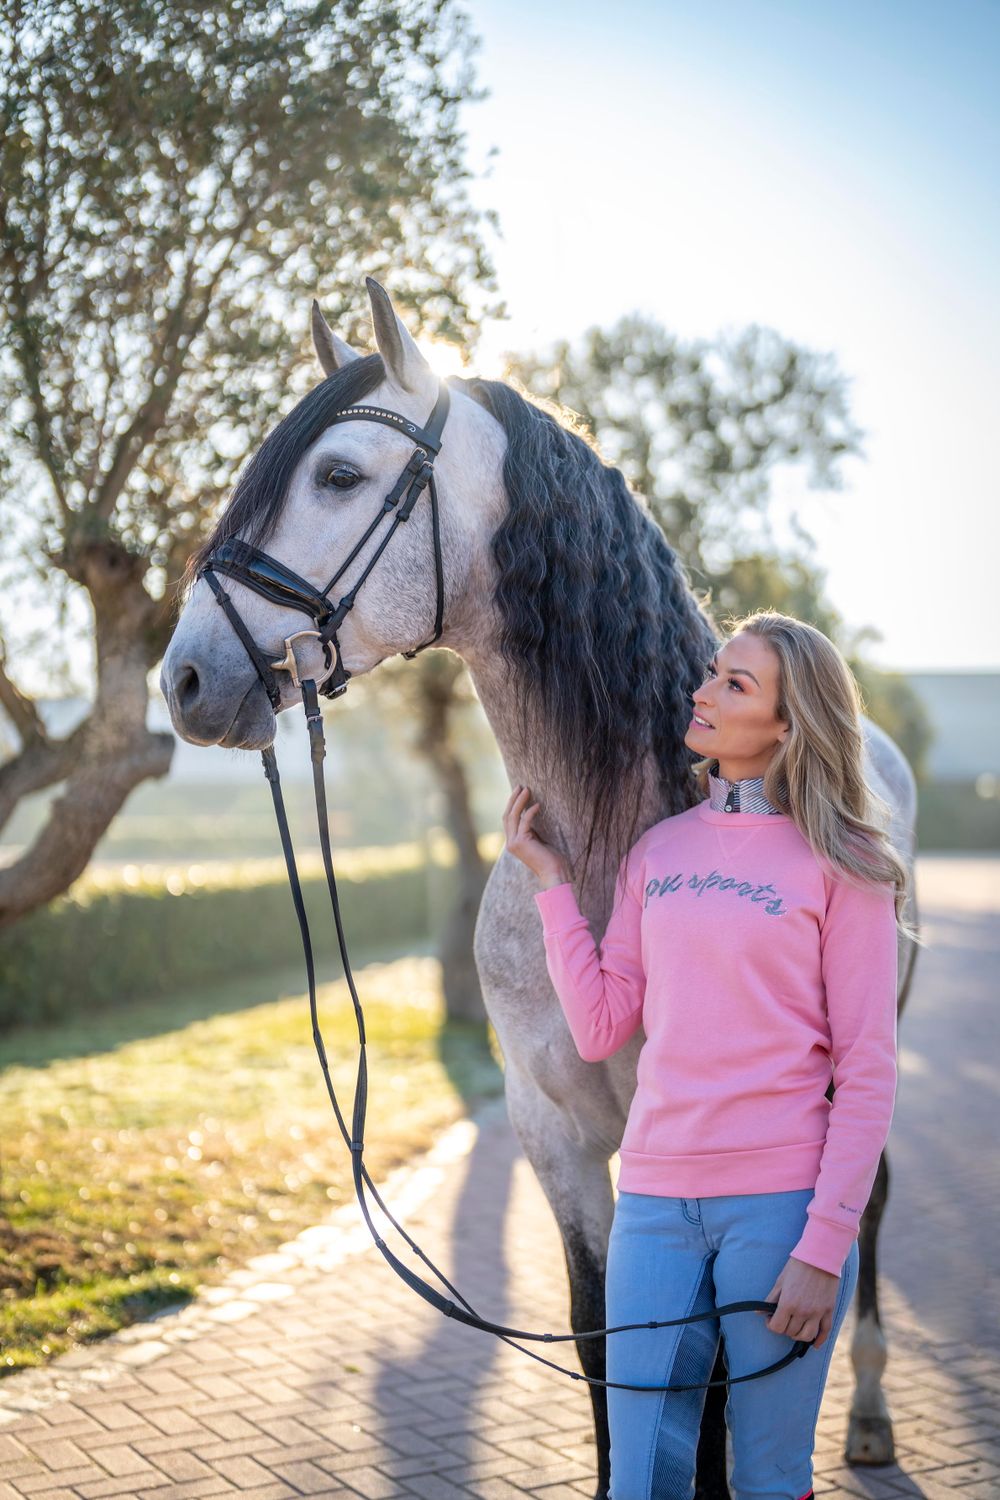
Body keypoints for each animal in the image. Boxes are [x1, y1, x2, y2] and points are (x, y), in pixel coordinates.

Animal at [161, 276, 920, 1500]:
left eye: (338, 476)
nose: (187, 677)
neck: (618, 838)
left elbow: (712, 1383)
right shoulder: (555, 1139)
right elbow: (607, 1348)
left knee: (864, 1208)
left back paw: (870, 1415)